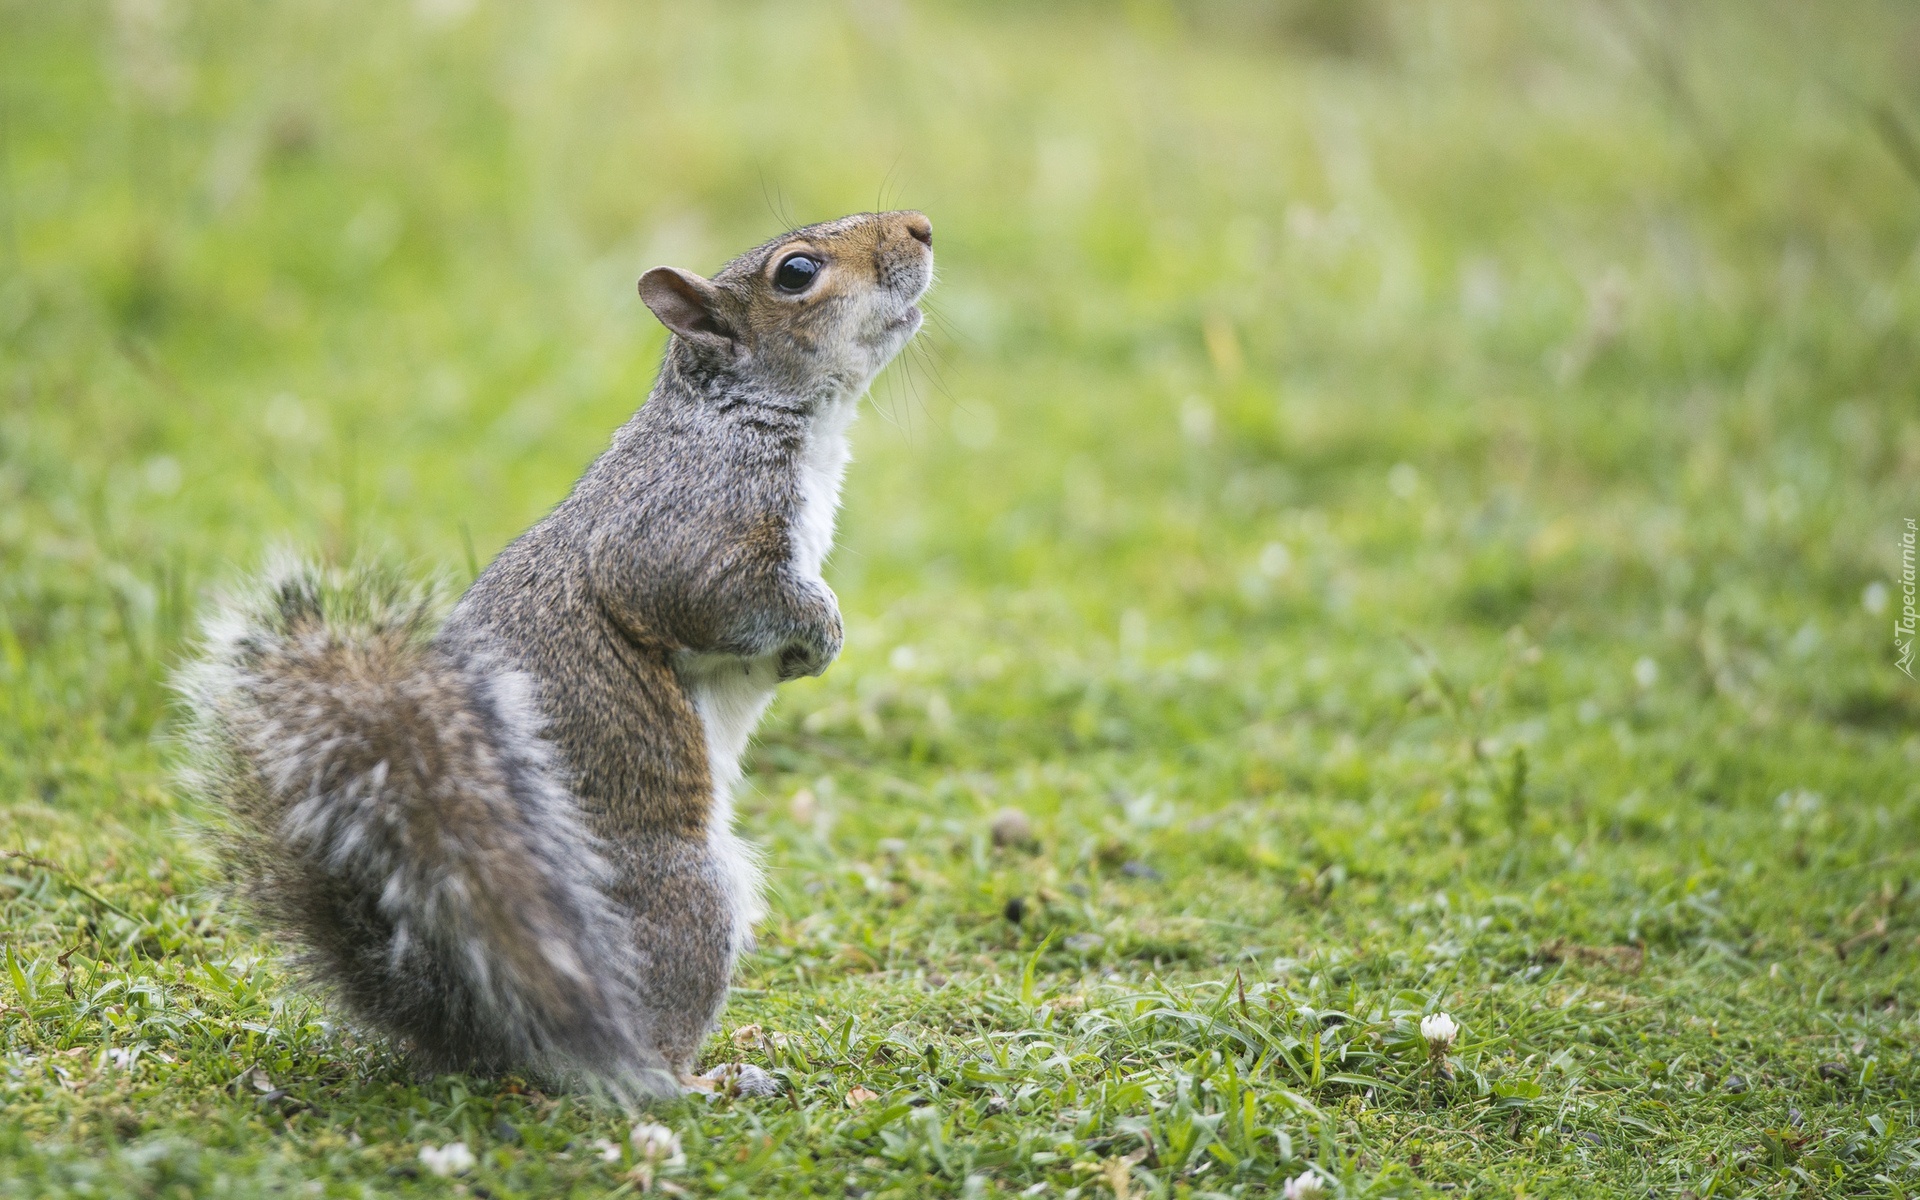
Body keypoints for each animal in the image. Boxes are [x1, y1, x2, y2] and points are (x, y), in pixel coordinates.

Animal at [180, 208, 936, 1098]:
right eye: (796, 273)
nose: (921, 226)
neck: (753, 416)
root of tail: (480, 1021)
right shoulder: (685, 527)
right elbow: (715, 598)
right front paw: (821, 629)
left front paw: (810, 653)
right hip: (684, 896)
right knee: (643, 1051)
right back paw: (704, 1081)